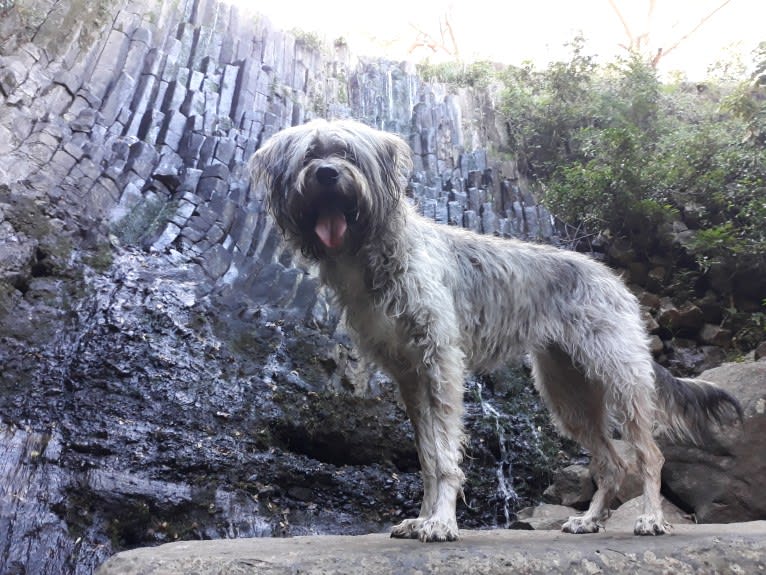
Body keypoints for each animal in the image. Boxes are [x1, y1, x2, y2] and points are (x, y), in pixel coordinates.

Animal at [252, 118, 744, 544]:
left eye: (347, 152)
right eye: (310, 154)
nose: (327, 174)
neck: (377, 253)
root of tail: (613, 279)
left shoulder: (440, 362)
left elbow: (445, 454)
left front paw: (441, 522)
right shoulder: (409, 376)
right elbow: (427, 455)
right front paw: (422, 518)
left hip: (618, 376)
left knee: (648, 454)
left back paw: (650, 518)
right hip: (567, 393)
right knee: (610, 463)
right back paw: (589, 520)